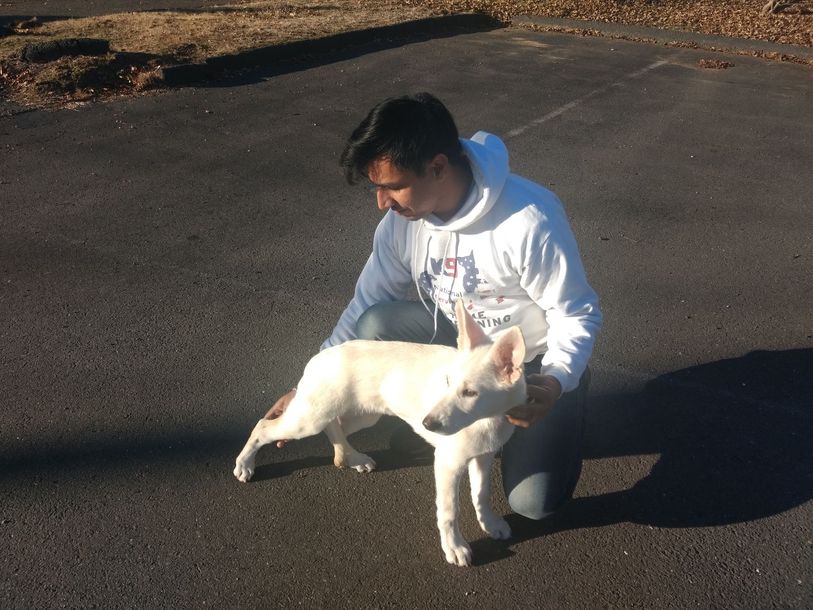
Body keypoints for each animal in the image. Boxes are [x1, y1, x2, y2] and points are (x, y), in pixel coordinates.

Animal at [235, 300, 528, 564]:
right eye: (447, 381)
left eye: (470, 392)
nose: (427, 424)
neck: (486, 420)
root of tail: (320, 356)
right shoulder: (448, 462)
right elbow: (449, 511)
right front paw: (454, 547)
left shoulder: (483, 456)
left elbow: (481, 494)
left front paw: (490, 524)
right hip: (309, 419)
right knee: (264, 426)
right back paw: (245, 464)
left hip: (362, 414)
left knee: (335, 427)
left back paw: (351, 458)